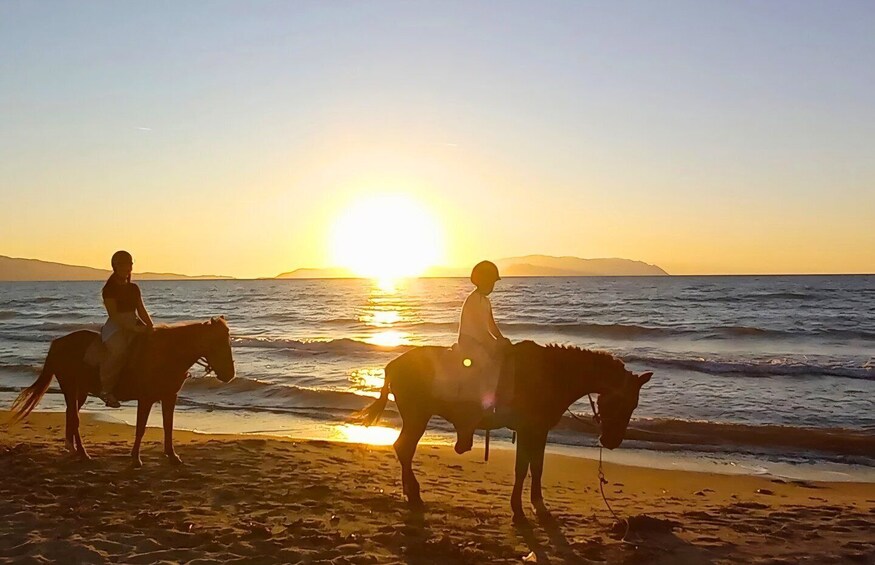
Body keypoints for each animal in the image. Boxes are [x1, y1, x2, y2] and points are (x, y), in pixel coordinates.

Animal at [11, 317, 235, 467]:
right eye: (217, 342)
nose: (230, 374)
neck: (167, 353)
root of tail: (58, 343)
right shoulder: (146, 398)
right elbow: (141, 427)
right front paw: (135, 458)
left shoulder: (169, 397)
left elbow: (168, 426)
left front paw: (172, 456)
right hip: (70, 387)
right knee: (74, 418)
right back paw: (83, 454)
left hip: (79, 391)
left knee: (71, 415)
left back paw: (74, 450)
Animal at [355, 340, 652, 522]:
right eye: (624, 402)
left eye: (634, 405)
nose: (612, 441)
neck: (550, 374)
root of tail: (392, 365)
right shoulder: (528, 429)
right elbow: (522, 468)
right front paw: (518, 510)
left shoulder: (539, 431)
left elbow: (537, 467)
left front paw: (538, 506)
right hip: (417, 416)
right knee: (404, 448)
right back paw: (414, 494)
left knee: (403, 449)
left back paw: (410, 492)